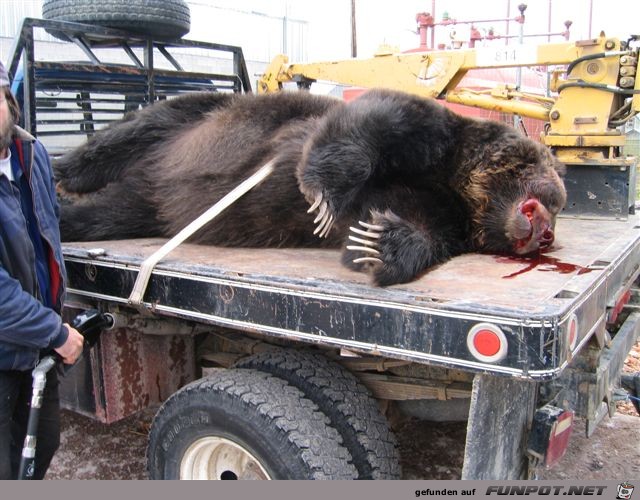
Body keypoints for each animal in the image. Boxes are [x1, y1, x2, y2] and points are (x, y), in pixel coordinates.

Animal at [55, 89, 564, 286]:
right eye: (551, 202)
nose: (545, 234)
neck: (459, 184)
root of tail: (153, 182)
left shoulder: (440, 211)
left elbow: (410, 231)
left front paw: (379, 242)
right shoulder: (435, 137)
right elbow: (374, 119)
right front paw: (322, 193)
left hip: (145, 204)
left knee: (108, 213)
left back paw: (66, 213)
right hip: (195, 121)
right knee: (143, 126)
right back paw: (65, 173)